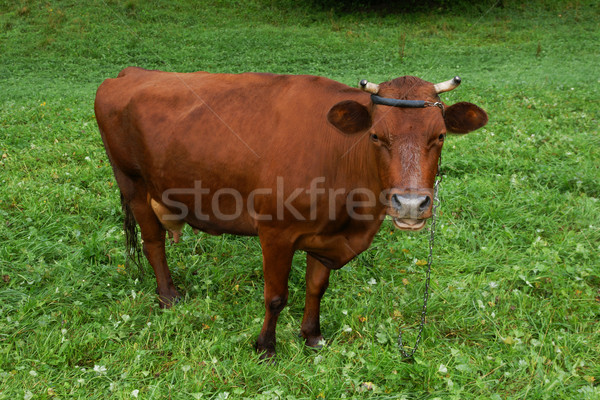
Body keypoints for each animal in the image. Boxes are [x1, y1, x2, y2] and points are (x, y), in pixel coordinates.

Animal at [94, 67, 488, 358]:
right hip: (133, 183)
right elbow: (276, 295)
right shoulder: (275, 232)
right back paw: (168, 297)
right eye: (376, 135)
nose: (409, 203)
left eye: (440, 136)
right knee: (153, 241)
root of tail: (130, 73)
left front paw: (311, 335)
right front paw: (265, 347)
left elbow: (316, 287)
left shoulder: (327, 235)